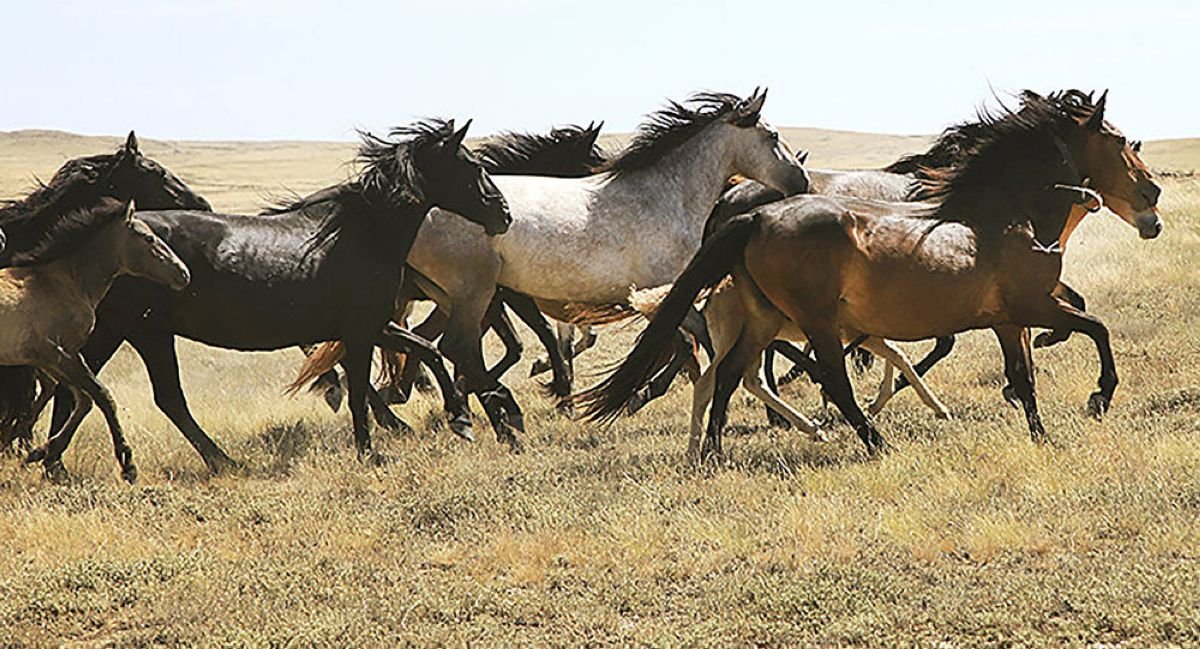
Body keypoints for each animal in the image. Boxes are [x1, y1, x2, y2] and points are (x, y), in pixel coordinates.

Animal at [41, 118, 511, 472]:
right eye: (472, 166)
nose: (503, 213)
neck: (362, 234)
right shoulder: (360, 331)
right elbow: (361, 392)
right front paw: (370, 451)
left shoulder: (372, 325)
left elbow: (427, 351)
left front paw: (461, 419)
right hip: (138, 331)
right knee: (143, 396)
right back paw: (216, 461)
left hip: (126, 331)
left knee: (88, 390)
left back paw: (55, 461)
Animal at [400, 88, 806, 448]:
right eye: (772, 136)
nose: (801, 180)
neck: (664, 198)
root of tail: (422, 205)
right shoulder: (661, 295)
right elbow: (694, 345)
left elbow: (687, 347)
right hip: (475, 291)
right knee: (456, 346)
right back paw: (494, 421)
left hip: (456, 296)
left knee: (438, 343)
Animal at [580, 88, 1161, 458]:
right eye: (1119, 141)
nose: (1152, 194)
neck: (1003, 215)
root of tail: (754, 215)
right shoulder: (1031, 305)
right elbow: (1097, 329)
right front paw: (1099, 397)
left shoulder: (1007, 319)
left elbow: (1027, 375)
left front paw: (1041, 435)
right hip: (815, 321)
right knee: (829, 380)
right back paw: (870, 439)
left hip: (764, 318)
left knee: (728, 376)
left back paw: (715, 454)